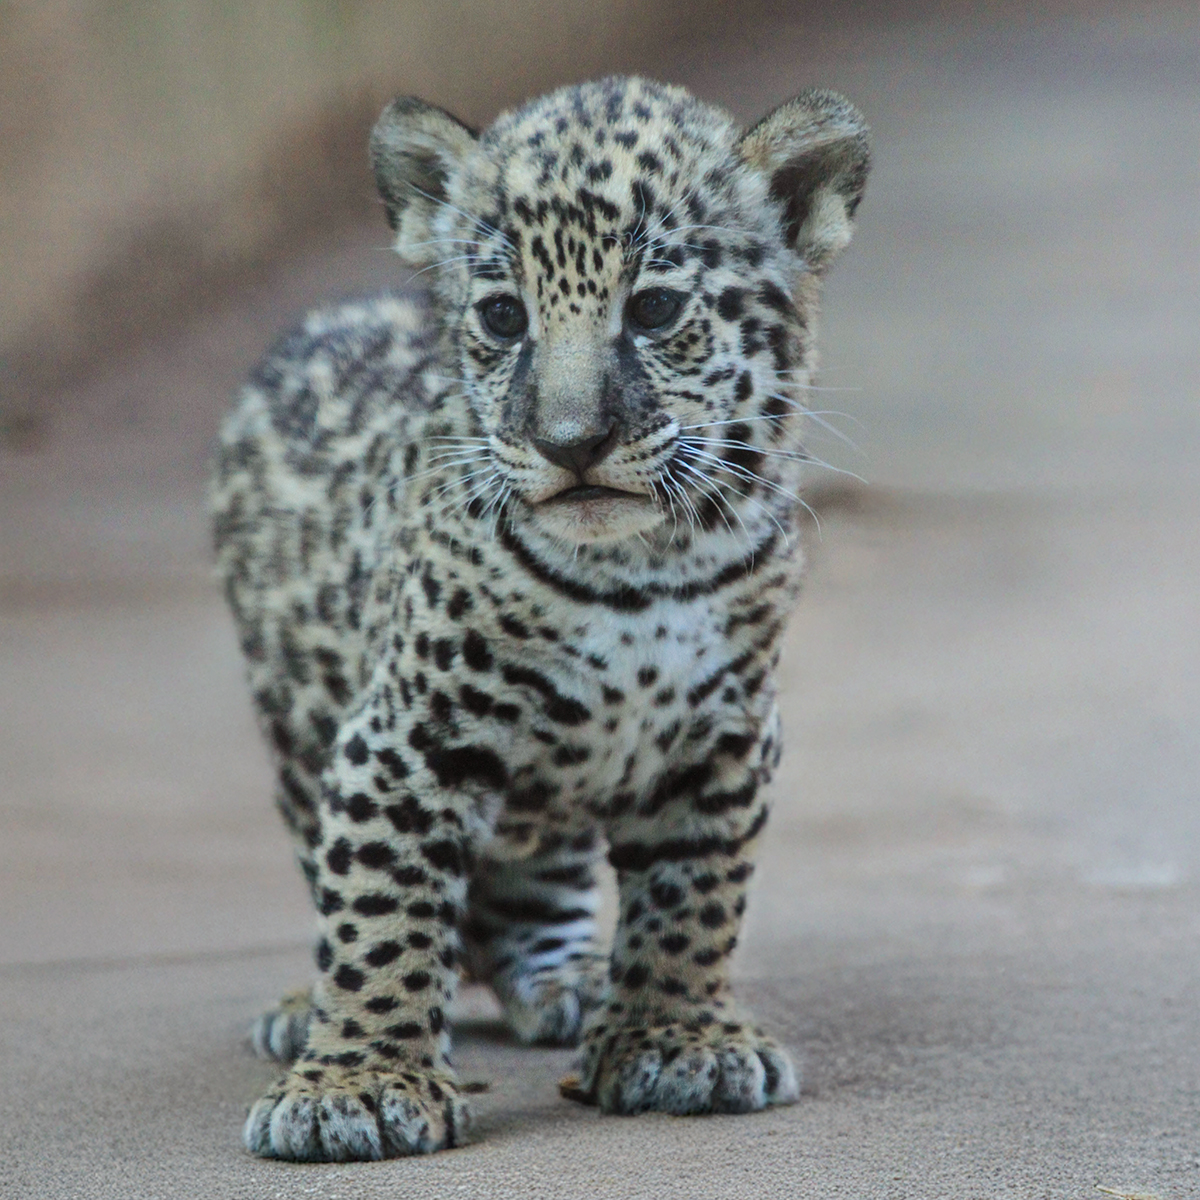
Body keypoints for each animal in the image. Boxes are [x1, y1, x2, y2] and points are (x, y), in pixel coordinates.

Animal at [212, 75, 870, 1161]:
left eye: (654, 309)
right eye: (502, 315)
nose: (571, 442)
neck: (644, 571)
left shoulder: (725, 735)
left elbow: (694, 895)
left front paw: (677, 1037)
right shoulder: (406, 737)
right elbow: (380, 910)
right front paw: (358, 1082)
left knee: (526, 890)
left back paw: (571, 982)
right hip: (296, 733)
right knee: (338, 875)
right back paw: (310, 1009)